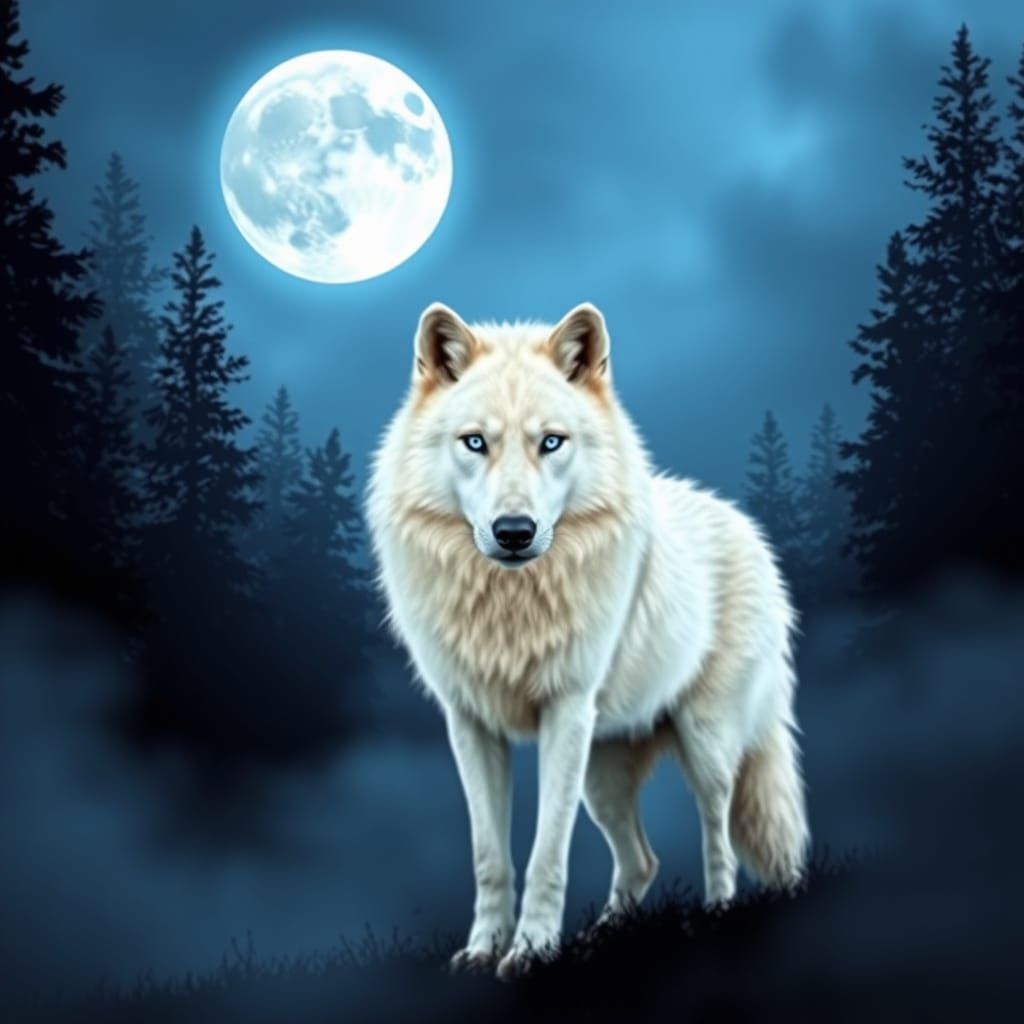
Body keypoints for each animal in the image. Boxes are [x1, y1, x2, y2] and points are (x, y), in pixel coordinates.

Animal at [367, 302, 809, 978]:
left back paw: (714, 916)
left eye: (551, 441)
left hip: (704, 743)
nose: (514, 531)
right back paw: (603, 939)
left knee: (718, 832)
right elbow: (490, 857)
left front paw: (530, 953)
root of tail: (744, 524)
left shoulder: (566, 715)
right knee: (642, 861)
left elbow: (547, 854)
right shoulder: (469, 723)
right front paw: (483, 950)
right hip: (603, 774)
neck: (511, 606)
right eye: (475, 441)